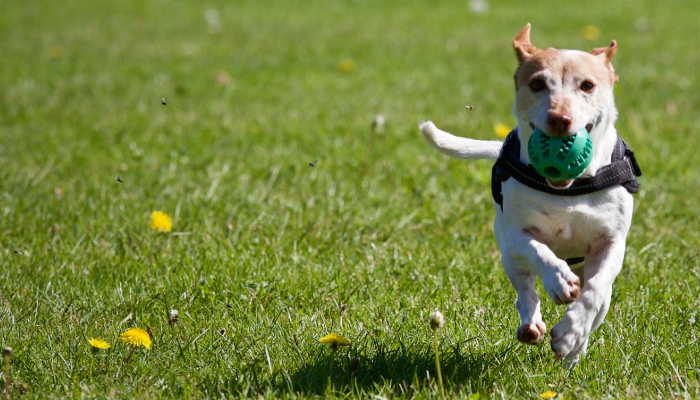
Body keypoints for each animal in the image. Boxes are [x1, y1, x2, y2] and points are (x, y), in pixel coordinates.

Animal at [418, 23, 644, 364]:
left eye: (587, 85)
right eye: (537, 83)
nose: (559, 119)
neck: (569, 190)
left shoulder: (612, 243)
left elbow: (593, 293)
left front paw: (570, 333)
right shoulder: (516, 235)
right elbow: (540, 253)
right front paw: (559, 280)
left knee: (598, 303)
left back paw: (575, 353)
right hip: (508, 256)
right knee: (525, 288)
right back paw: (531, 324)